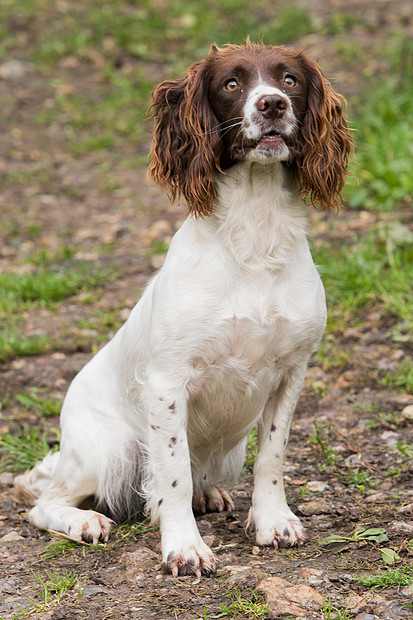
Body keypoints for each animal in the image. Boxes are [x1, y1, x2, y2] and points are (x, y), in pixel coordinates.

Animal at [16, 42, 350, 576]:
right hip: (110, 449)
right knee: (47, 501)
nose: (272, 104)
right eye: (232, 84)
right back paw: (84, 521)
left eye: (290, 80)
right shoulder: (168, 383)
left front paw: (273, 521)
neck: (254, 237)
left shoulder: (291, 373)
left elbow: (272, 456)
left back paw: (209, 496)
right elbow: (172, 474)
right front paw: (185, 547)